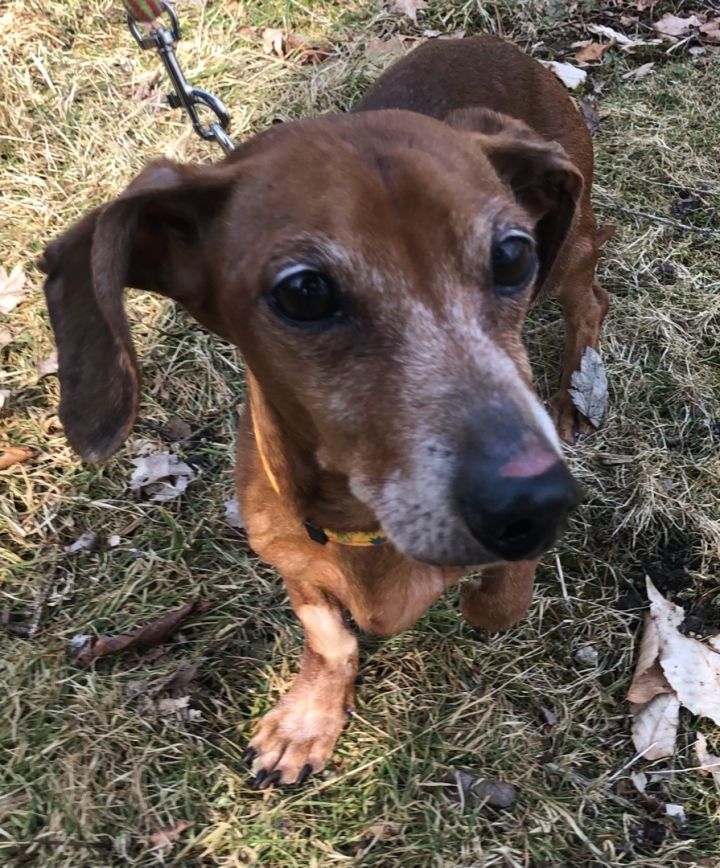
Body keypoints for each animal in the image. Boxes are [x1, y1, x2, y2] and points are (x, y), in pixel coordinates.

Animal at [42, 37, 608, 792]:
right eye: (304, 292)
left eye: (513, 254)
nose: (536, 503)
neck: (362, 527)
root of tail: (482, 38)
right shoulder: (292, 565)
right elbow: (330, 637)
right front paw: (309, 719)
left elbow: (497, 604)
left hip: (569, 251)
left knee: (591, 300)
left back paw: (576, 387)